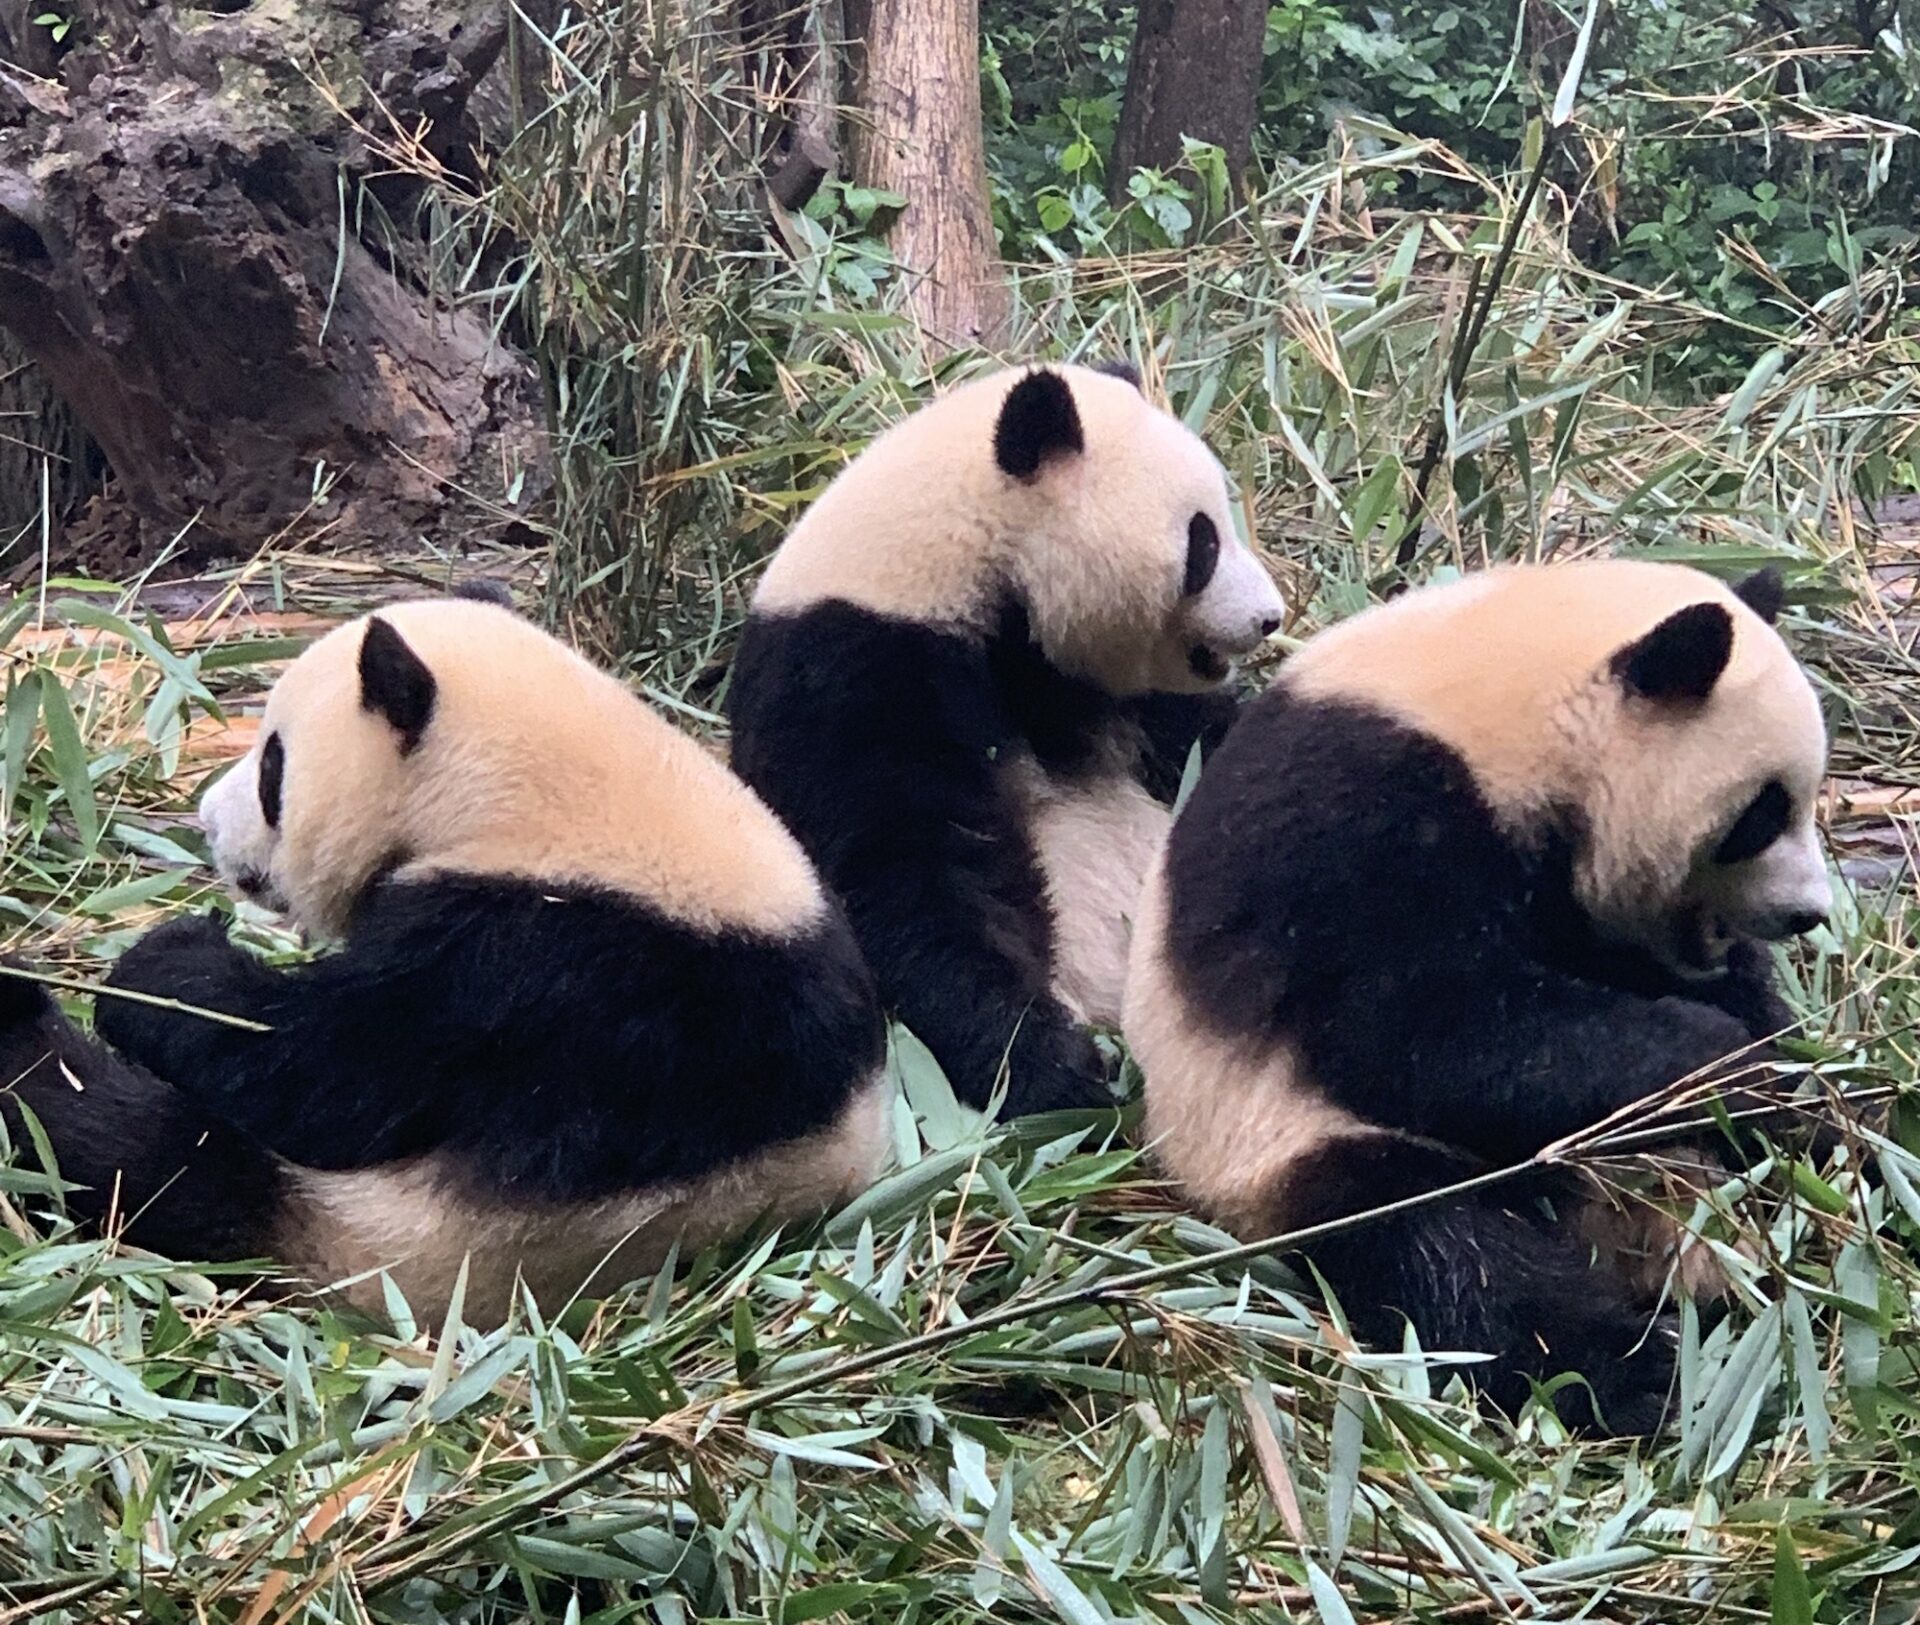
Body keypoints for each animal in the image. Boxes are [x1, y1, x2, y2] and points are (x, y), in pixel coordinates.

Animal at [0, 596, 890, 1325]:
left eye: (273, 765)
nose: (205, 820)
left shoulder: (542, 967)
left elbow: (327, 1072)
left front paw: (164, 965)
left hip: (374, 1230)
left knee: (125, 1142)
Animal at [727, 362, 1286, 1117]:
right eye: (1203, 542)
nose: (1270, 617)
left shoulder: (1116, 695)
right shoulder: (852, 679)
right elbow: (910, 882)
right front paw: (1055, 1064)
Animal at [1123, 560, 1830, 1433]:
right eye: (1763, 812)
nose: (1809, 912)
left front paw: (1788, 1077)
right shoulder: (1355, 810)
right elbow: (1414, 1027)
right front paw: (1722, 1065)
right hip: (1281, 1144)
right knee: (1442, 1243)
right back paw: (1635, 1370)